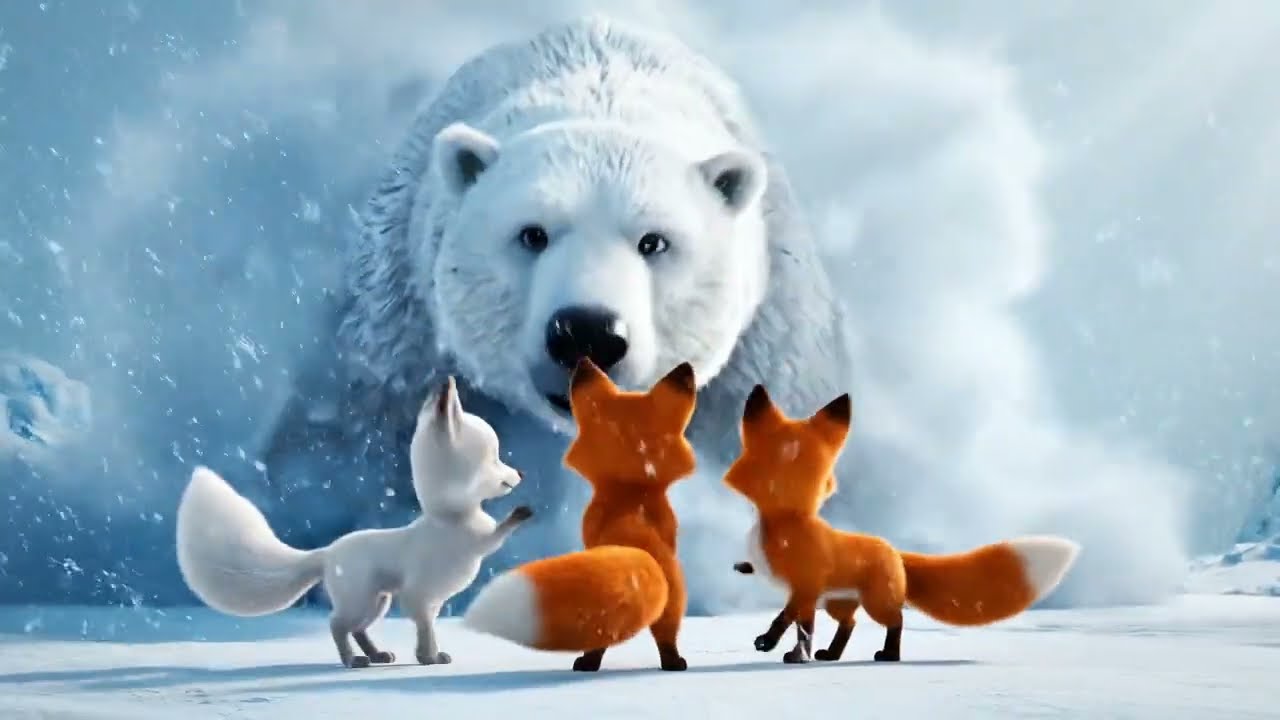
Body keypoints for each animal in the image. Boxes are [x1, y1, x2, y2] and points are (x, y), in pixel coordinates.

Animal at [175, 376, 533, 669]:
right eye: (496, 458)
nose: (520, 472)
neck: (449, 517)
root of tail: (326, 552)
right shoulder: (423, 592)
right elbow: (491, 542)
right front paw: (429, 657)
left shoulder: (424, 598)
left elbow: (426, 626)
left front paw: (427, 656)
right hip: (360, 599)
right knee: (337, 624)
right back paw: (352, 660)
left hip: (377, 601)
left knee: (356, 628)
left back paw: (376, 655)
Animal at [259, 14, 851, 613]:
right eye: (532, 234)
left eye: (654, 241)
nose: (586, 331)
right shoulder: (410, 329)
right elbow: (347, 437)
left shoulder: (756, 354)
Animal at [463, 358, 699, 672]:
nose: (583, 359)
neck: (630, 492)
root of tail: (639, 548)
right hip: (671, 604)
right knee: (664, 637)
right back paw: (672, 663)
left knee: (611, 643)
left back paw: (588, 662)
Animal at [725, 384, 1081, 664]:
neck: (786, 520)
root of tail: (895, 551)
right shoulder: (805, 594)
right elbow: (793, 623)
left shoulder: (806, 589)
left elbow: (794, 624)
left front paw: (789, 654)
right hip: (838, 602)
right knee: (850, 624)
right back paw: (833, 654)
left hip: (874, 603)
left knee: (894, 621)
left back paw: (889, 655)